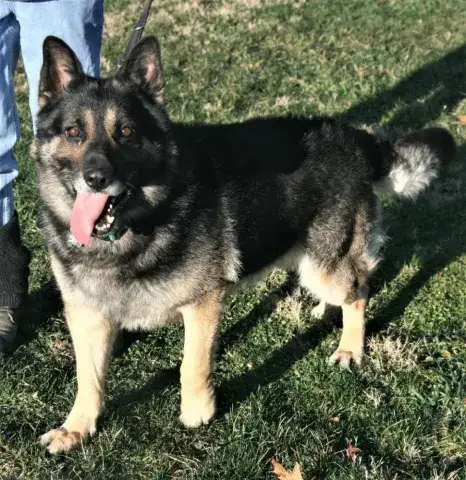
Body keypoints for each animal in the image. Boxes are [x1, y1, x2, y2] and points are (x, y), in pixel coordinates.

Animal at [32, 35, 456, 453]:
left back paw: (351, 347)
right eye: (73, 132)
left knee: (360, 289)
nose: (96, 179)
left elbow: (192, 364)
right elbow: (88, 377)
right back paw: (325, 309)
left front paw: (198, 412)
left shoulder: (202, 304)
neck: (137, 228)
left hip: (326, 265)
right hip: (314, 262)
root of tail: (353, 137)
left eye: (126, 132)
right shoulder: (86, 314)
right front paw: (77, 427)